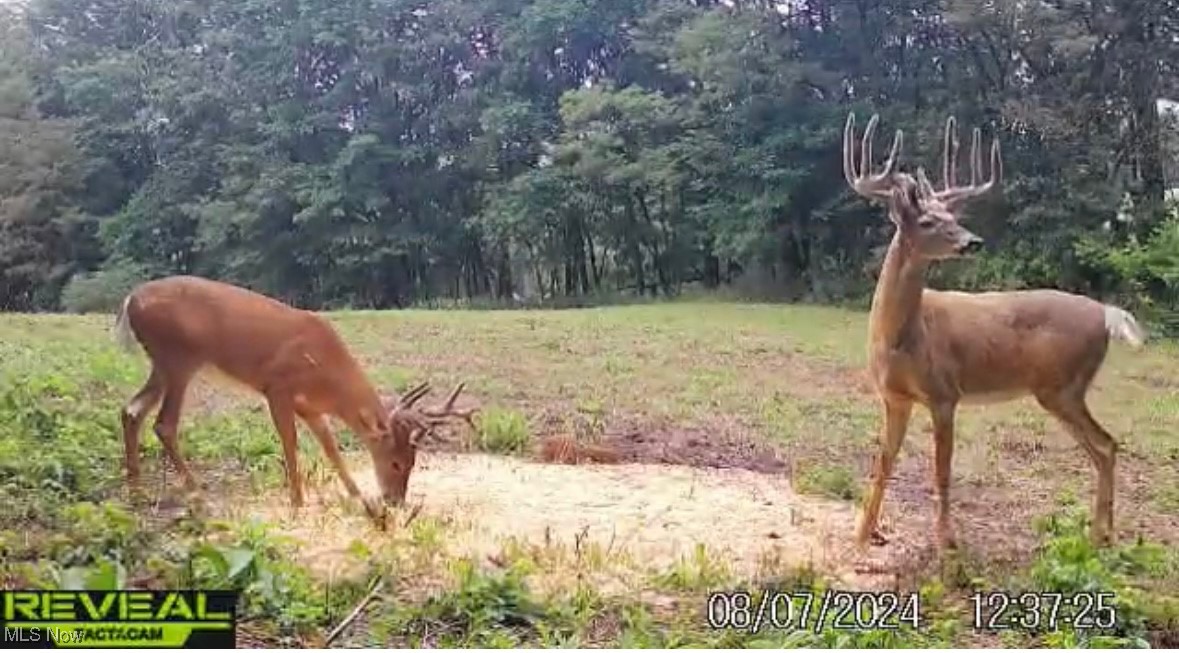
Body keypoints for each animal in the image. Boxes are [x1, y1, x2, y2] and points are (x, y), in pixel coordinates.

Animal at [111, 273, 478, 518]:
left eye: (414, 462)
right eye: (397, 462)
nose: (395, 501)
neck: (327, 373)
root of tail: (129, 301)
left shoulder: (311, 407)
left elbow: (330, 447)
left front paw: (357, 496)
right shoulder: (277, 387)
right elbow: (290, 442)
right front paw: (298, 502)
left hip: (163, 363)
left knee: (131, 410)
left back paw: (135, 492)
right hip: (179, 357)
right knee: (163, 423)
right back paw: (197, 492)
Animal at [844, 110, 1145, 549]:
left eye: (955, 218)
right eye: (928, 220)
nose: (973, 242)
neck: (900, 338)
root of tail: (1107, 313)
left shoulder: (944, 393)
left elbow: (941, 469)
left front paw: (946, 540)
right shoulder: (895, 398)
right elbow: (883, 462)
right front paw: (864, 532)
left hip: (1062, 386)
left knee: (1106, 445)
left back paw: (1098, 536)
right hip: (1061, 391)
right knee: (1102, 447)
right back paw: (1099, 534)